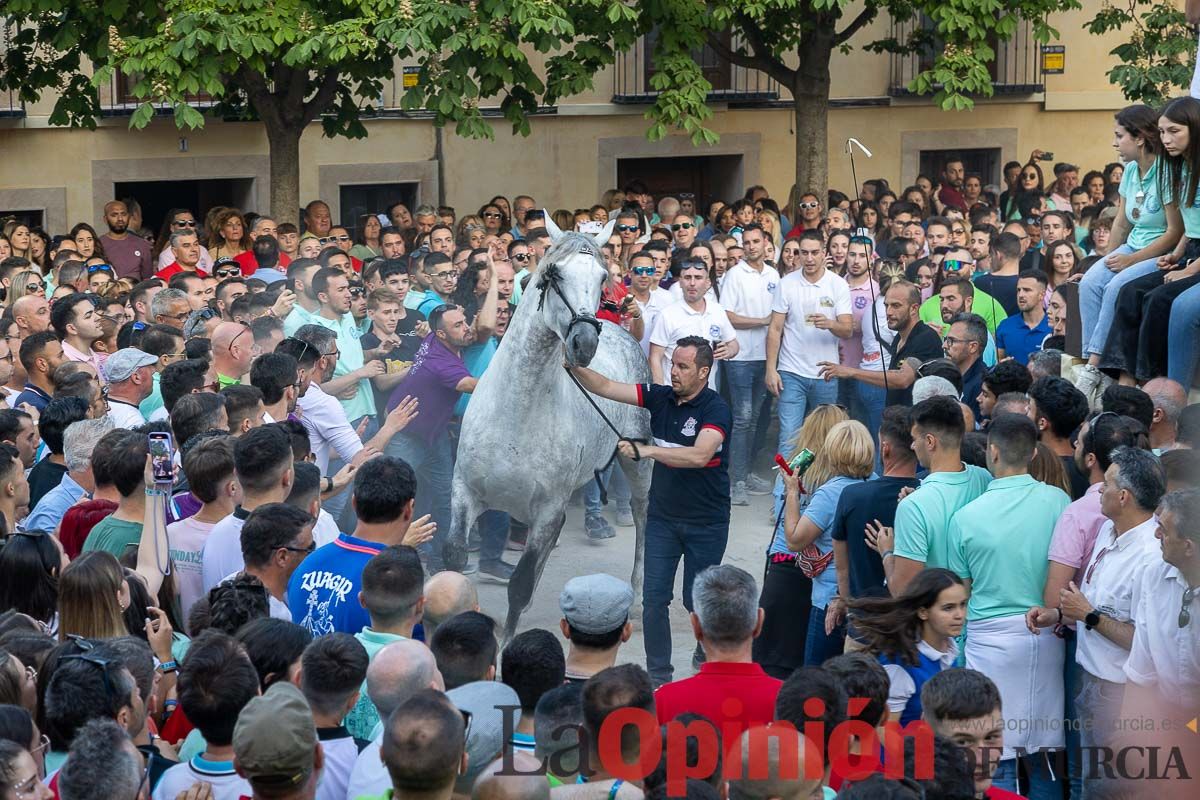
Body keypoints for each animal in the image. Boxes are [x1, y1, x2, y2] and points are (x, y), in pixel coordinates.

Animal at [441, 215, 648, 642]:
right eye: (554, 273)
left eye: (603, 276)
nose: (584, 342)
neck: (516, 413)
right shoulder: (464, 491)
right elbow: (455, 559)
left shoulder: (548, 508)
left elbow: (518, 585)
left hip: (637, 462)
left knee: (642, 516)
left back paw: (637, 598)